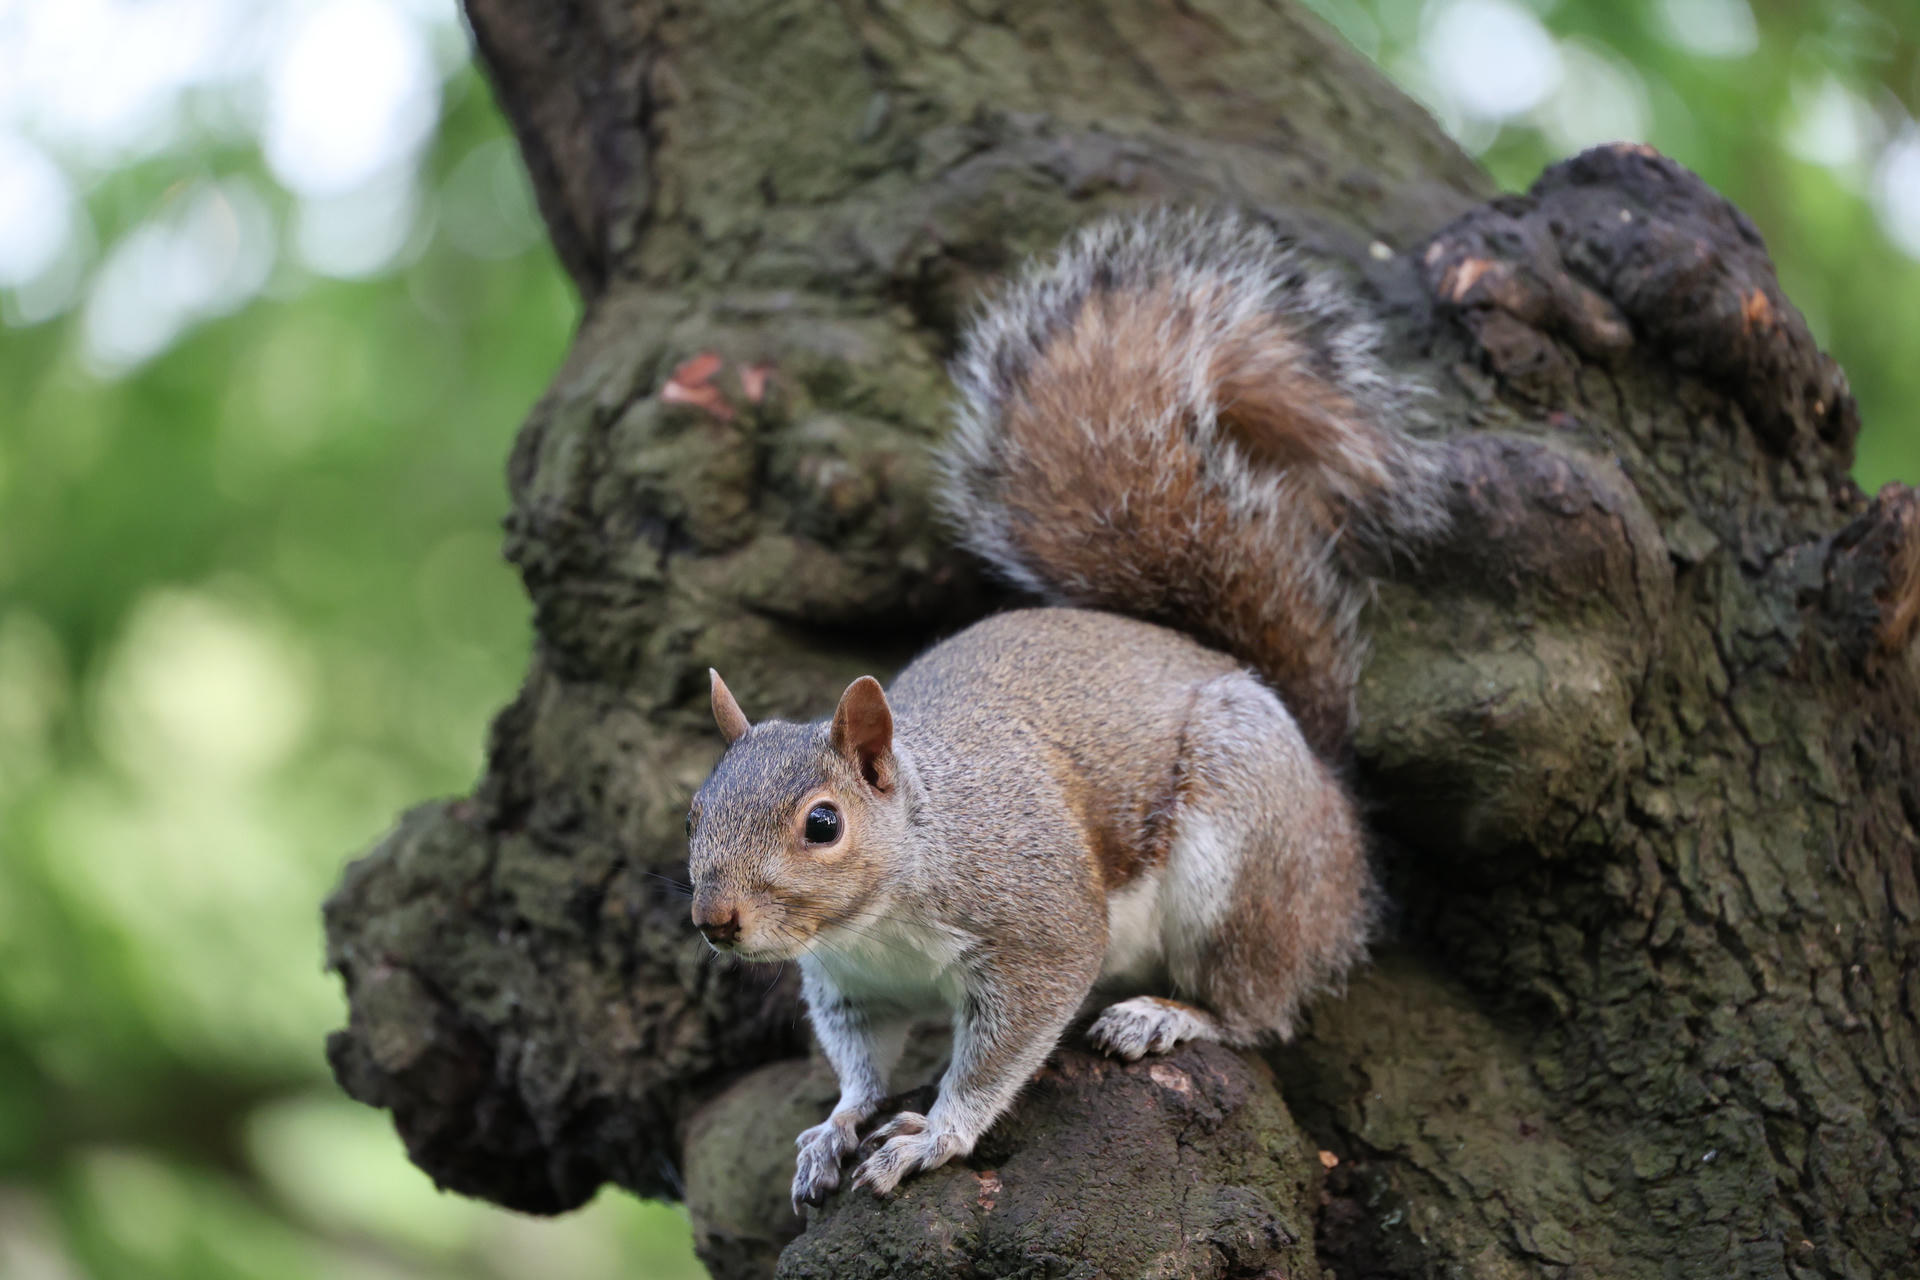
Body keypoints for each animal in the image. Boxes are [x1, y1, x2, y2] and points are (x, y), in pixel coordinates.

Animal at [684, 208, 1447, 1208]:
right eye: (695, 809)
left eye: (822, 823)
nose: (715, 920)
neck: (886, 905)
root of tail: (1331, 794)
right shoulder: (850, 984)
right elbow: (860, 1063)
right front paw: (834, 1128)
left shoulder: (1039, 928)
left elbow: (1002, 1050)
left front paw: (935, 1134)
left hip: (1246, 860)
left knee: (1259, 1005)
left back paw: (1168, 1014)